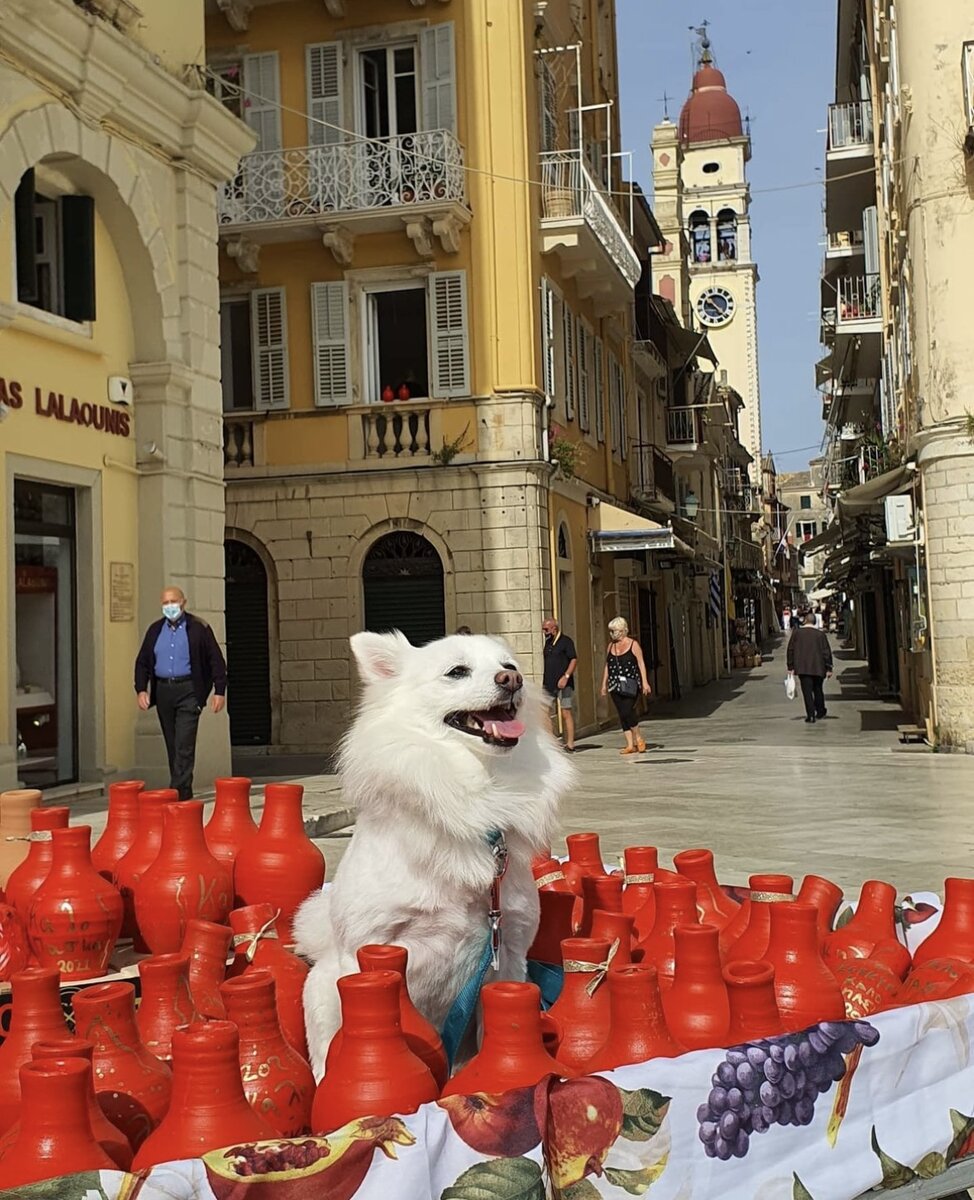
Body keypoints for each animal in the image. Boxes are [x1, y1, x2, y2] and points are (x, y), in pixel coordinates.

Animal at [292, 628, 573, 1080]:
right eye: (456, 672)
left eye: (510, 666)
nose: (512, 680)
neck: (475, 788)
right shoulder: (369, 949)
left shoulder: (508, 954)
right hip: (321, 992)